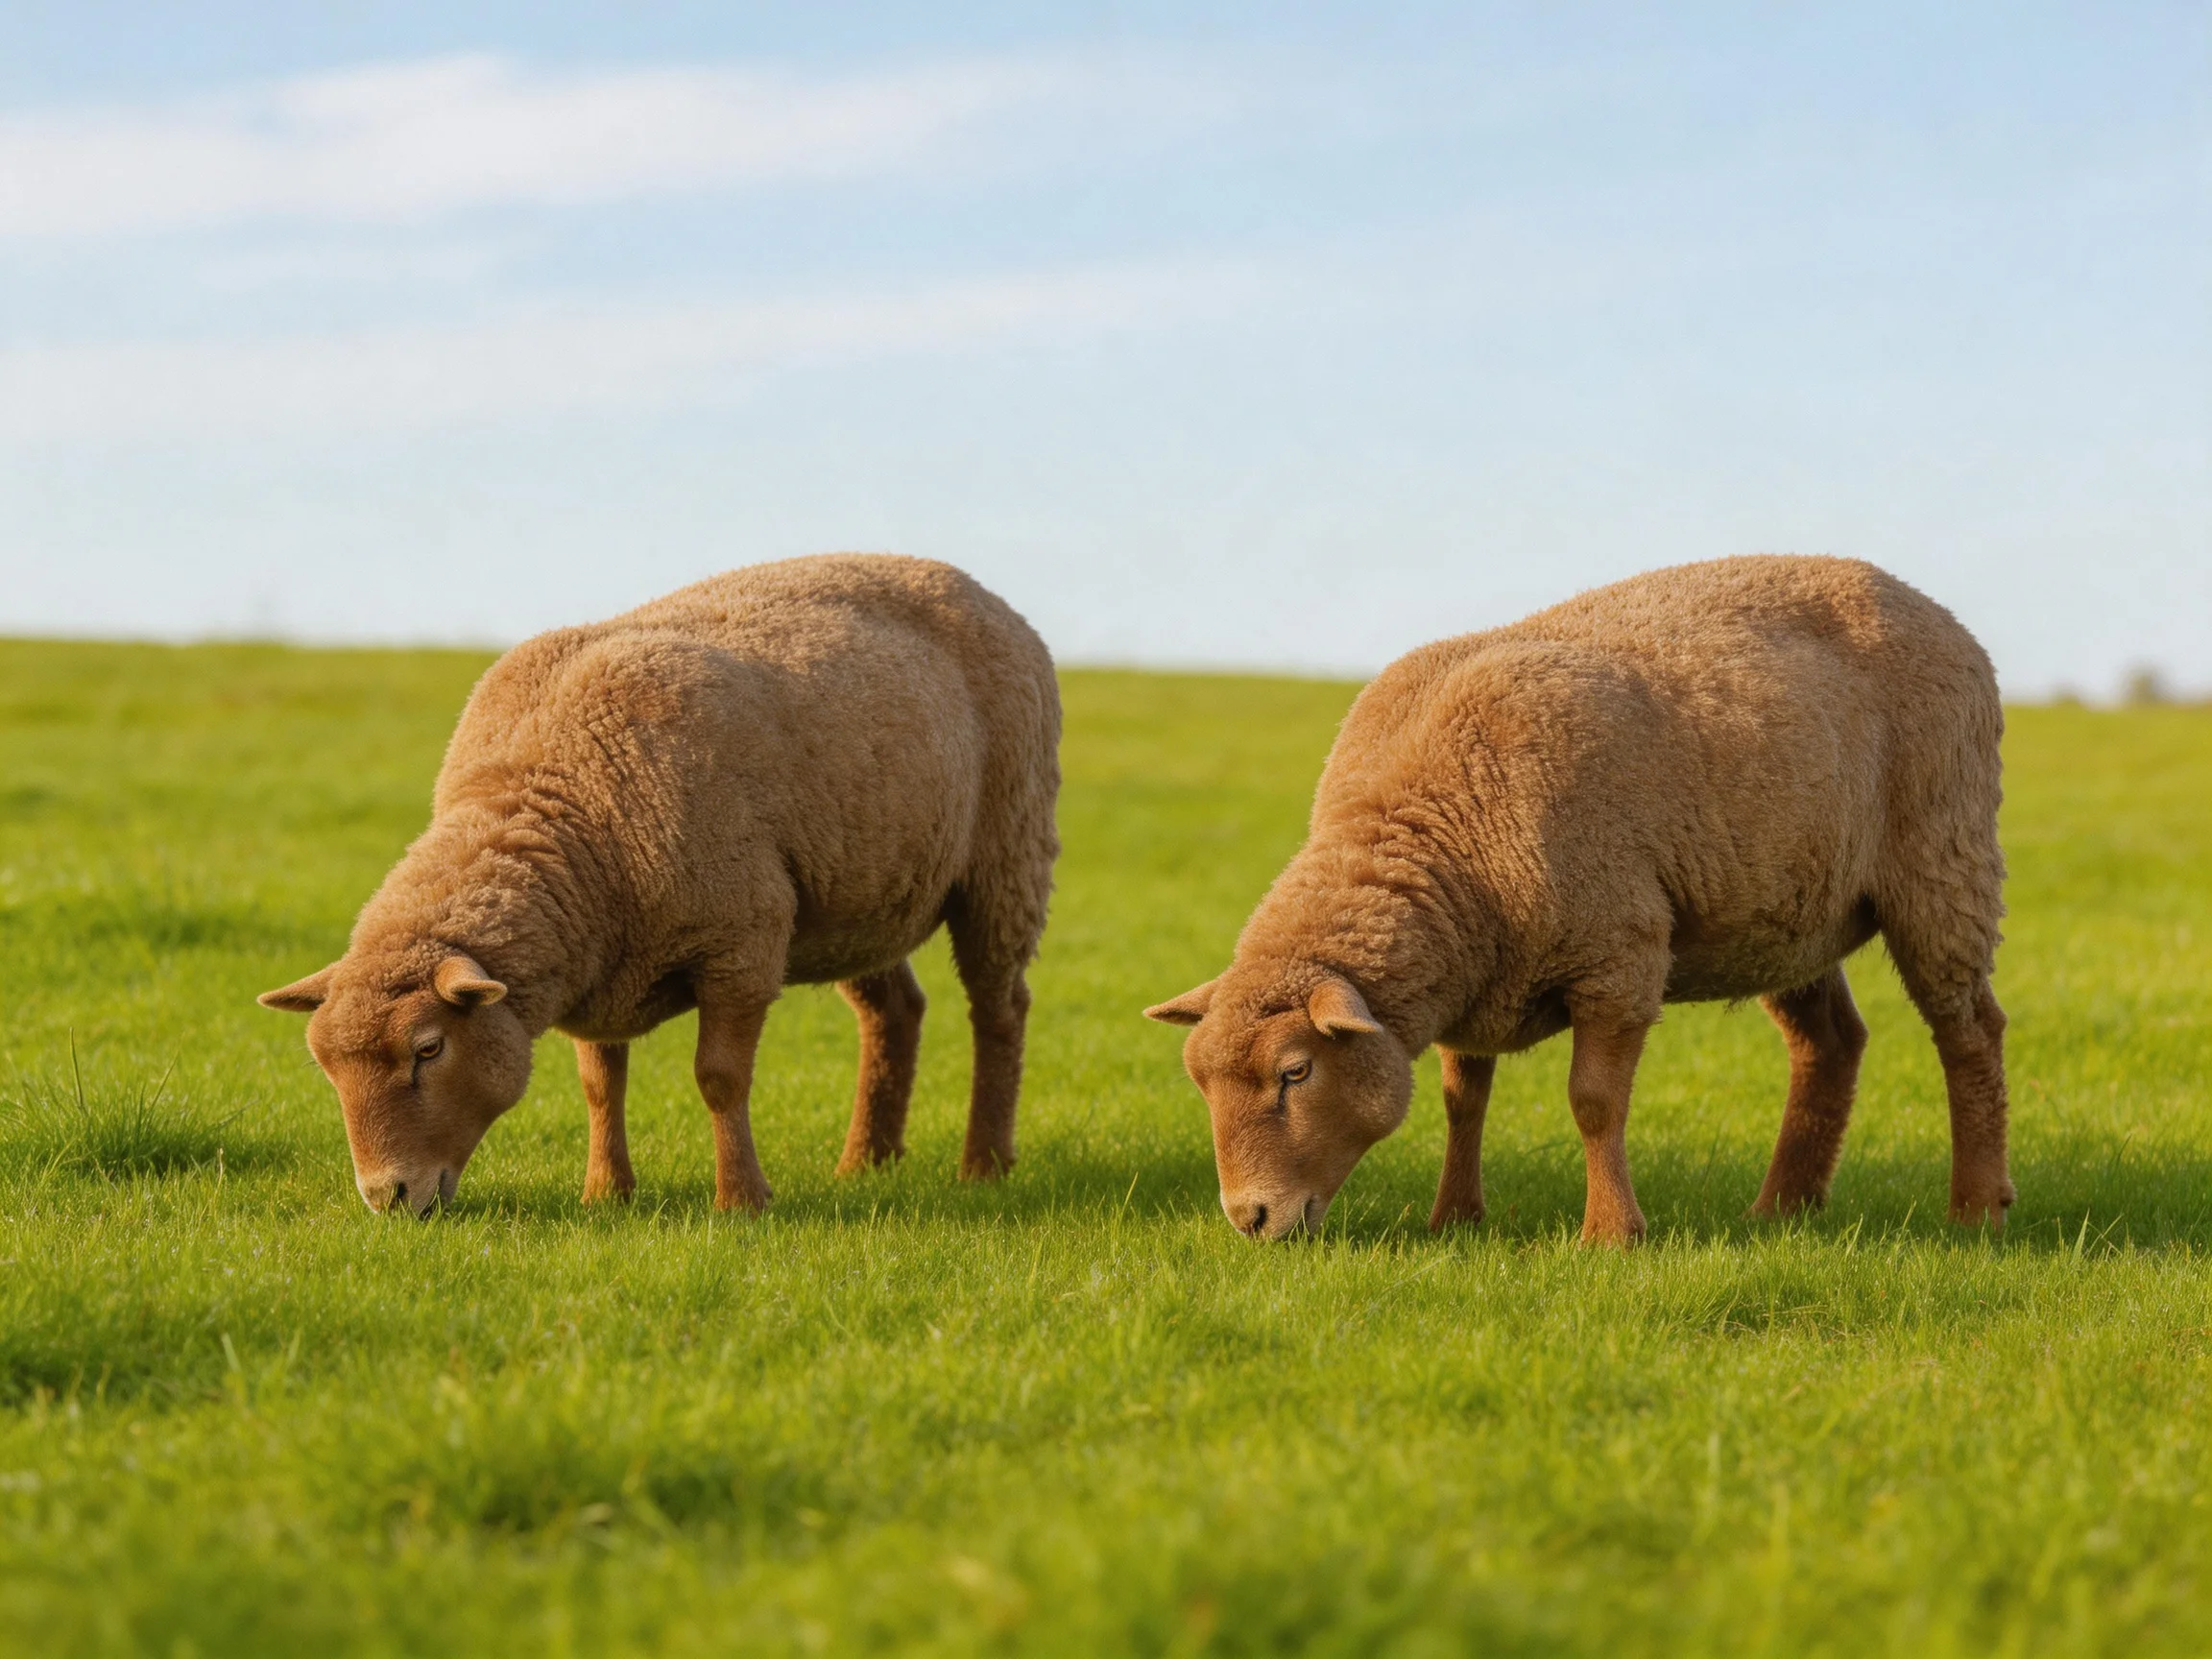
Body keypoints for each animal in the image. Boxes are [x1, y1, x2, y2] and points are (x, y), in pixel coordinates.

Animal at [260, 554, 1060, 1217]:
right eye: (325, 1068)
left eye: (428, 1050)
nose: (387, 1197)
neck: (551, 799)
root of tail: (975, 589)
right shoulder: (598, 970)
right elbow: (599, 1084)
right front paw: (605, 1192)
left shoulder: (742, 939)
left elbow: (720, 1079)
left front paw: (741, 1201)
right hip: (854, 893)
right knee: (895, 1011)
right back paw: (867, 1162)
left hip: (1007, 853)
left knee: (999, 1008)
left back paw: (984, 1164)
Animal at [1146, 555, 2011, 1244]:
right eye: (1199, 1081)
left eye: (1295, 1073)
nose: (1249, 1218)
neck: (1431, 827)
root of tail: (1933, 610)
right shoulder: (1477, 974)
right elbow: (1464, 1099)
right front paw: (1454, 1218)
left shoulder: (1618, 956)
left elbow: (1593, 1102)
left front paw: (1611, 1235)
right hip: (1787, 909)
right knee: (1830, 1042)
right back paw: (1783, 1208)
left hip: (1944, 860)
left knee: (1970, 1032)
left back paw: (1976, 1208)